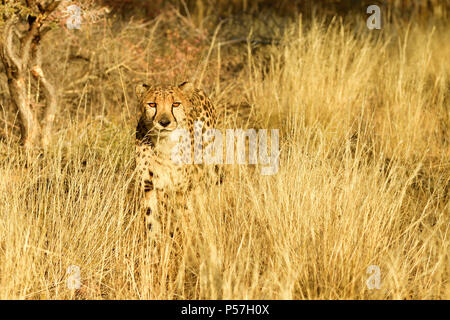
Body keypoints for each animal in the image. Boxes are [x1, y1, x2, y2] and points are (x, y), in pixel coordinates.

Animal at [134, 81, 218, 231]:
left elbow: (185, 217)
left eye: (176, 104)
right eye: (152, 104)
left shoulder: (181, 188)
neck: (163, 144)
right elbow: (151, 220)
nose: (164, 122)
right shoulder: (148, 186)